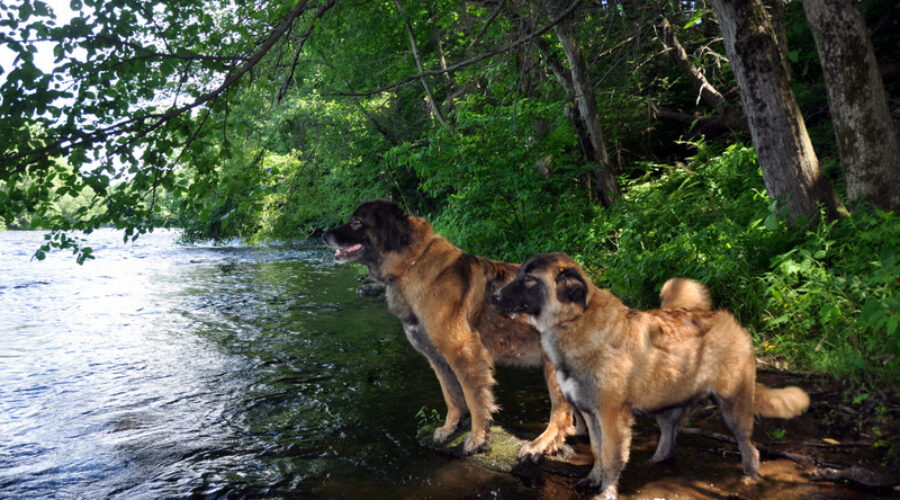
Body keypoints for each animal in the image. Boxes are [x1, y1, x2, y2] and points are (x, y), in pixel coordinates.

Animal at [326, 201, 572, 458]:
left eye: (356, 222)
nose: (323, 235)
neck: (412, 263)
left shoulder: (464, 353)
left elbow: (474, 400)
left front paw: (476, 438)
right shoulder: (437, 357)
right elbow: (452, 395)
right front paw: (450, 428)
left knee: (562, 413)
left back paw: (541, 443)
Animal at [492, 256, 808, 498]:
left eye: (529, 279)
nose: (493, 297)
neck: (575, 321)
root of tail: (731, 322)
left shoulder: (611, 415)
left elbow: (611, 456)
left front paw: (606, 491)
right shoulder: (591, 414)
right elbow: (597, 450)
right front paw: (593, 479)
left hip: (733, 407)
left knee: (750, 448)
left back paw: (750, 478)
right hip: (667, 404)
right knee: (669, 438)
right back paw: (655, 462)